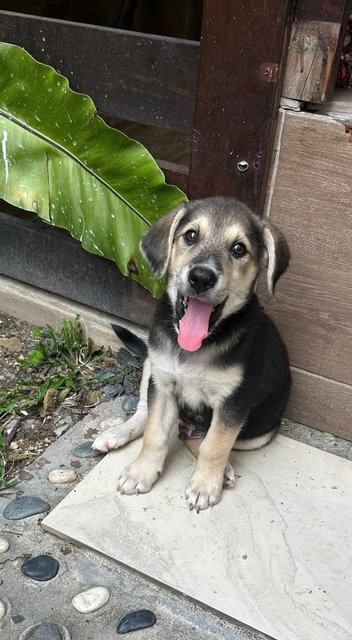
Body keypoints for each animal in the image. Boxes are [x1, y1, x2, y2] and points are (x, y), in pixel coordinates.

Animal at [92, 198, 290, 512]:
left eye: (239, 249)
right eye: (191, 236)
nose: (201, 277)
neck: (196, 348)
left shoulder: (234, 402)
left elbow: (215, 445)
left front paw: (204, 485)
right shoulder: (162, 383)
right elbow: (154, 433)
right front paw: (141, 472)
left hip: (259, 434)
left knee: (198, 439)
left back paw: (223, 471)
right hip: (150, 367)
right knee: (144, 413)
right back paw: (116, 433)